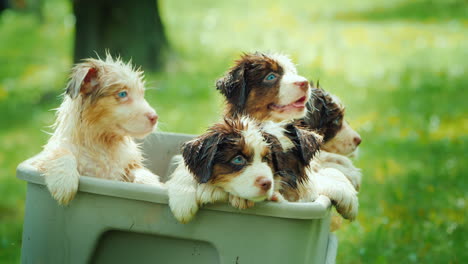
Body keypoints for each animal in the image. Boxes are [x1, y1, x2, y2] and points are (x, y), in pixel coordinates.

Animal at [32, 54, 161, 205]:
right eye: (123, 94)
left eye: (142, 94)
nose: (155, 117)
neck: (103, 143)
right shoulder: (43, 158)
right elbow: (60, 153)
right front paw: (63, 183)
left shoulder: (128, 165)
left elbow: (141, 170)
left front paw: (153, 184)